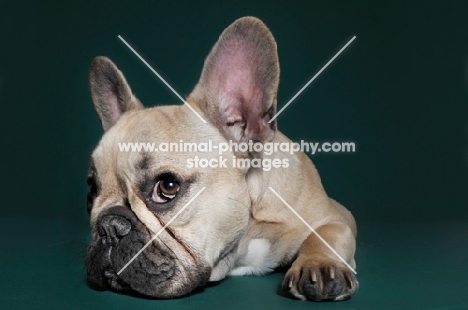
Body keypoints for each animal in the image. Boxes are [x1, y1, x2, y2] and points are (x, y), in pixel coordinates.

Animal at [85, 16, 358, 300]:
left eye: (167, 187)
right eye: (91, 190)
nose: (108, 226)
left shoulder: (339, 217)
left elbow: (327, 233)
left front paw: (319, 264)